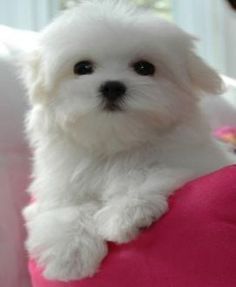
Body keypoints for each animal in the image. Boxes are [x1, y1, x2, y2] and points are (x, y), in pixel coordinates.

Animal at [23, 0, 230, 282]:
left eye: (145, 68)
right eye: (82, 68)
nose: (112, 86)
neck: (115, 143)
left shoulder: (190, 160)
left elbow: (148, 173)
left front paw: (124, 215)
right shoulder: (58, 185)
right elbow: (67, 209)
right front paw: (70, 255)